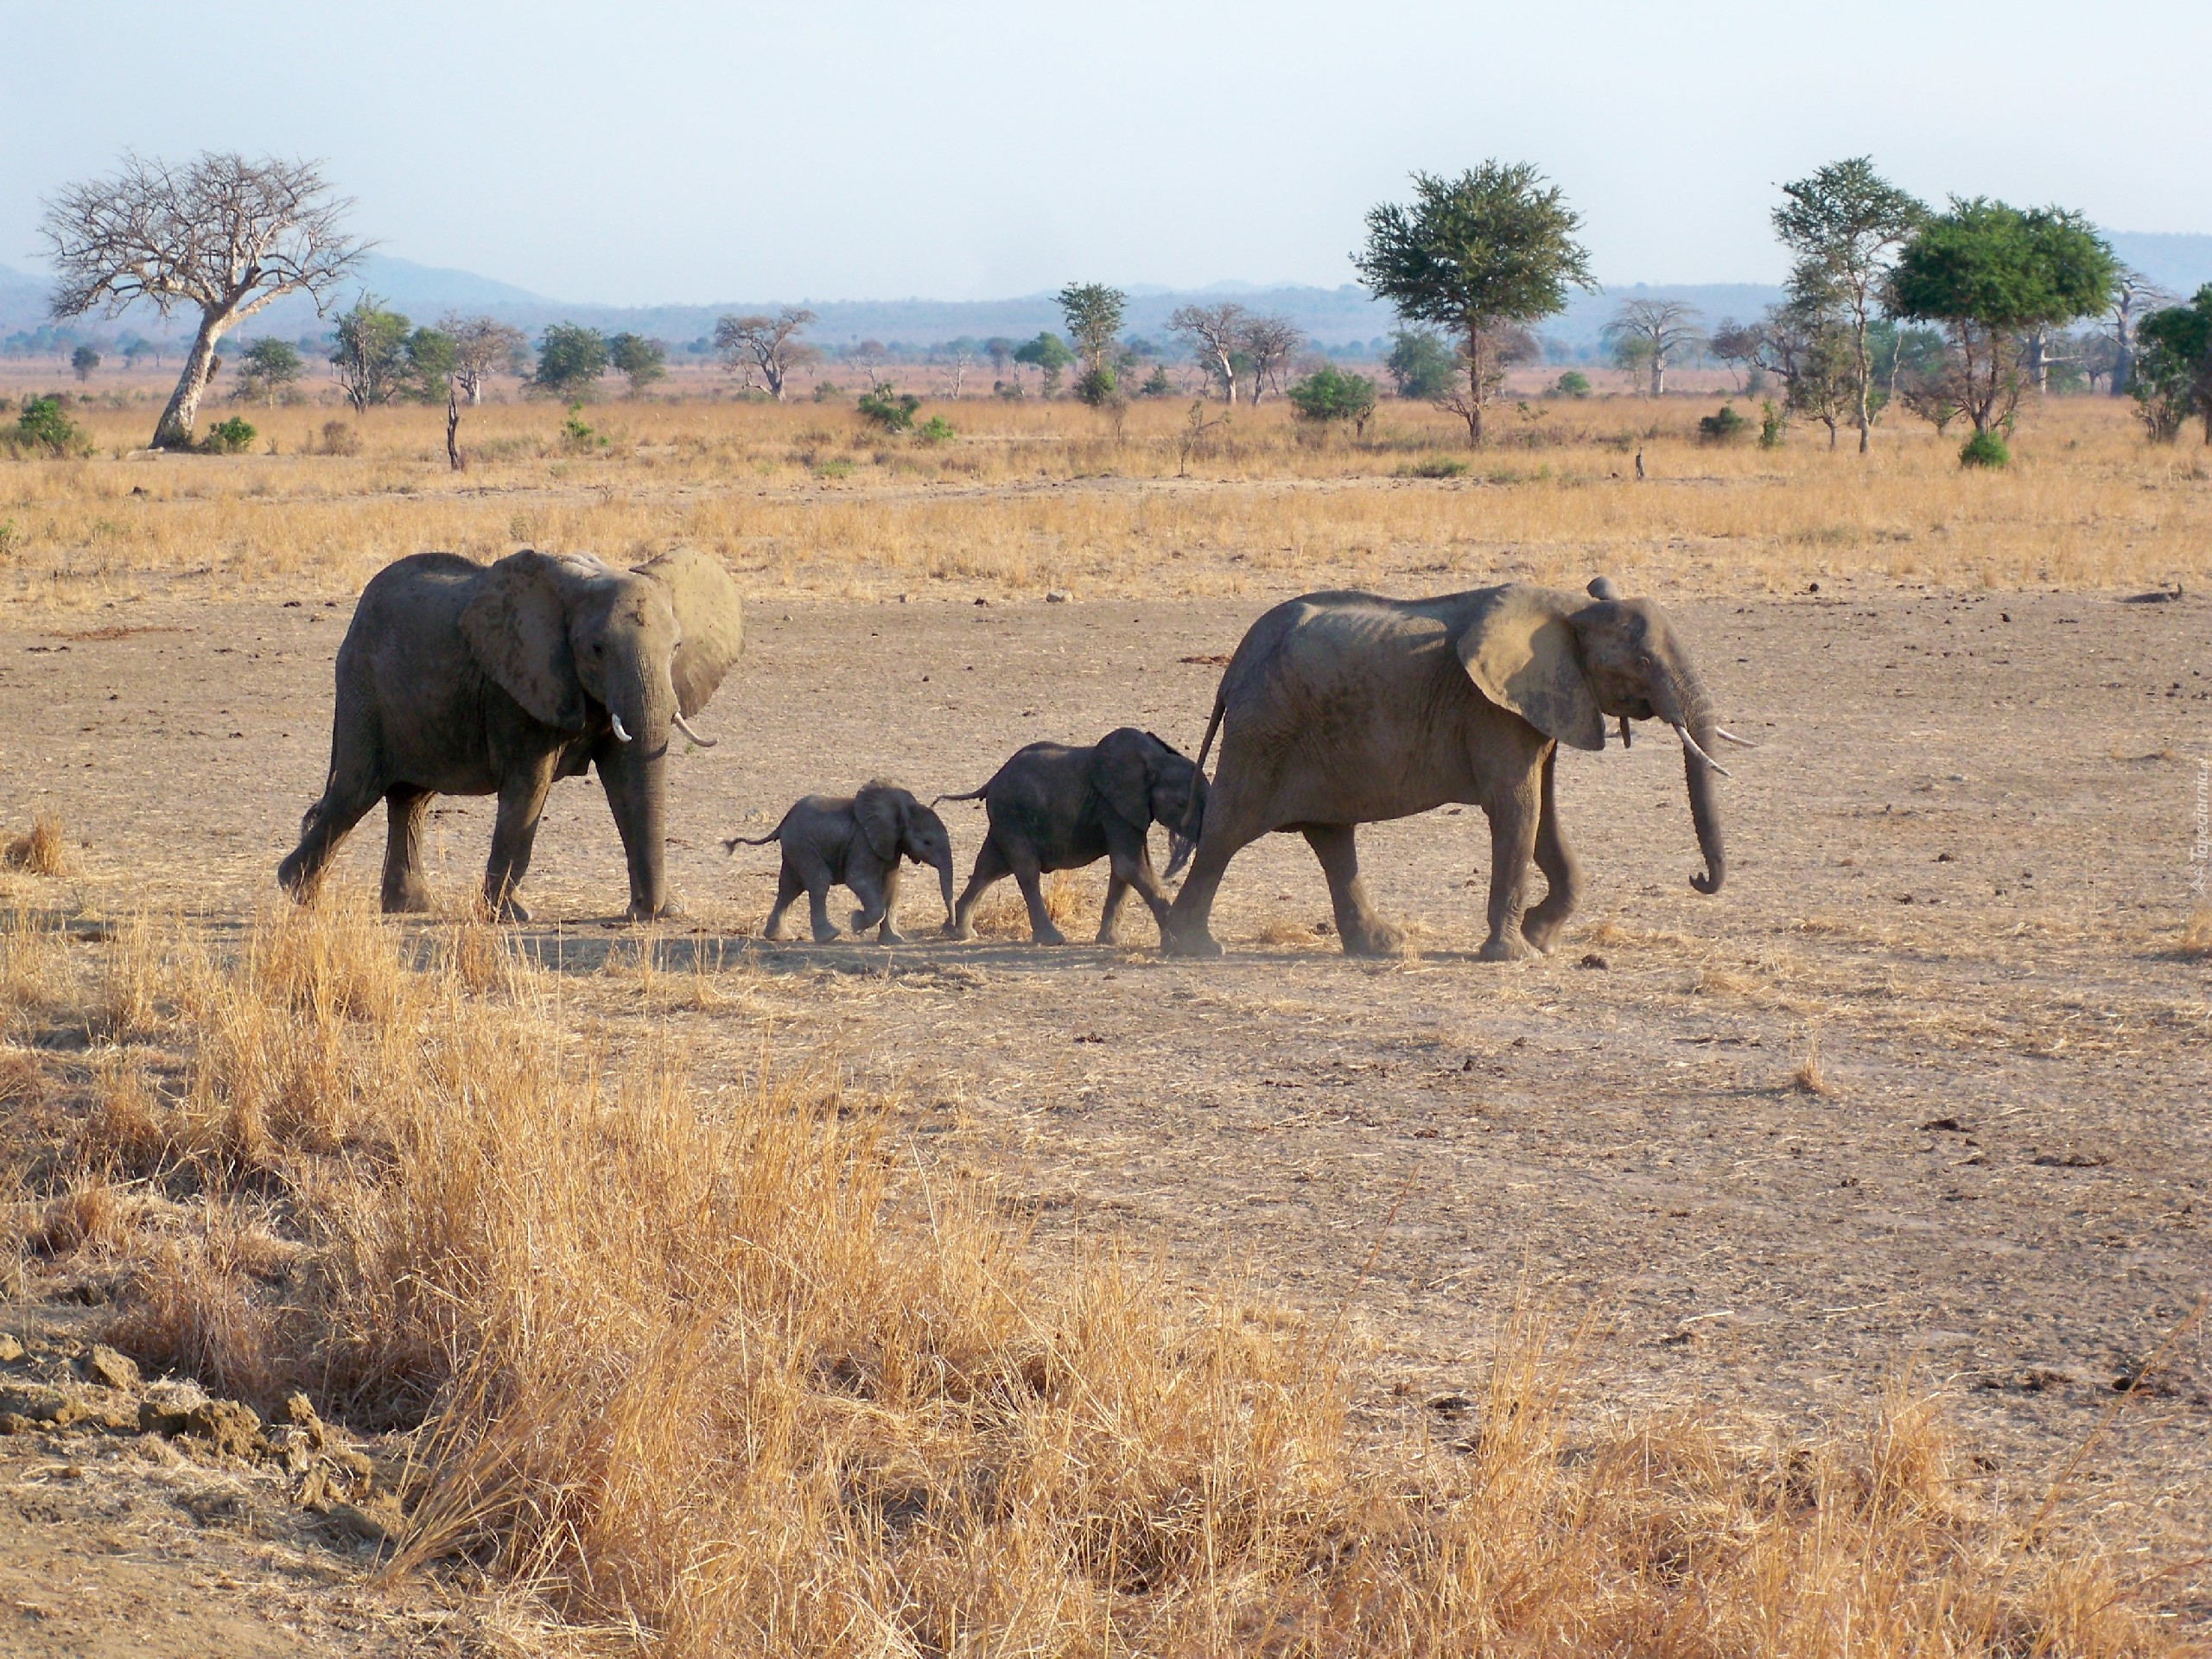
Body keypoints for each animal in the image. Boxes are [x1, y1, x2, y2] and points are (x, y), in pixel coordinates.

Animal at [274, 553, 743, 929]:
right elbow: (529, 788)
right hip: (363, 689)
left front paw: (659, 912)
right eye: (596, 649)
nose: (654, 909)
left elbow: (627, 782)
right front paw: (510, 916)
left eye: (677, 646)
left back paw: (410, 907)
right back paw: (296, 890)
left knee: (409, 799)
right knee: (356, 791)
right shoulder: (516, 688)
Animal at [729, 783, 955, 946]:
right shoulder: (863, 841)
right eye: (927, 842)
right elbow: (858, 879)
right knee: (818, 882)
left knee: (790, 887)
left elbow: (892, 887)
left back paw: (779, 937)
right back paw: (829, 936)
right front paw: (856, 923)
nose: (949, 929)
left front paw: (894, 941)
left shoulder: (891, 844)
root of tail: (783, 822)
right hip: (802, 845)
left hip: (795, 848)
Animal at [938, 725, 1211, 946]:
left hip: (1006, 818)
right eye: (1182, 803)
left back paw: (959, 933)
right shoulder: (1113, 805)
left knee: (990, 866)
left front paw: (1111, 942)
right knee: (1025, 869)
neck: (1157, 760)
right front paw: (1179, 937)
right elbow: (1130, 864)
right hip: (1011, 815)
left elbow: (1124, 869)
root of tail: (993, 779)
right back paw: (1052, 940)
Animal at [1167, 579, 1751, 960]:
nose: (1698, 878)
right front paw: (1516, 955)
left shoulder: (1543, 705)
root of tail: (1234, 667)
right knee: (1227, 830)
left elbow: (1544, 815)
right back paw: (1193, 947)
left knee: (1332, 837)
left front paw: (1541, 939)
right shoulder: (1493, 709)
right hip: (1264, 729)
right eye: (1645, 663)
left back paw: (1382, 947)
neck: (1571, 609)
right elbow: (1519, 809)